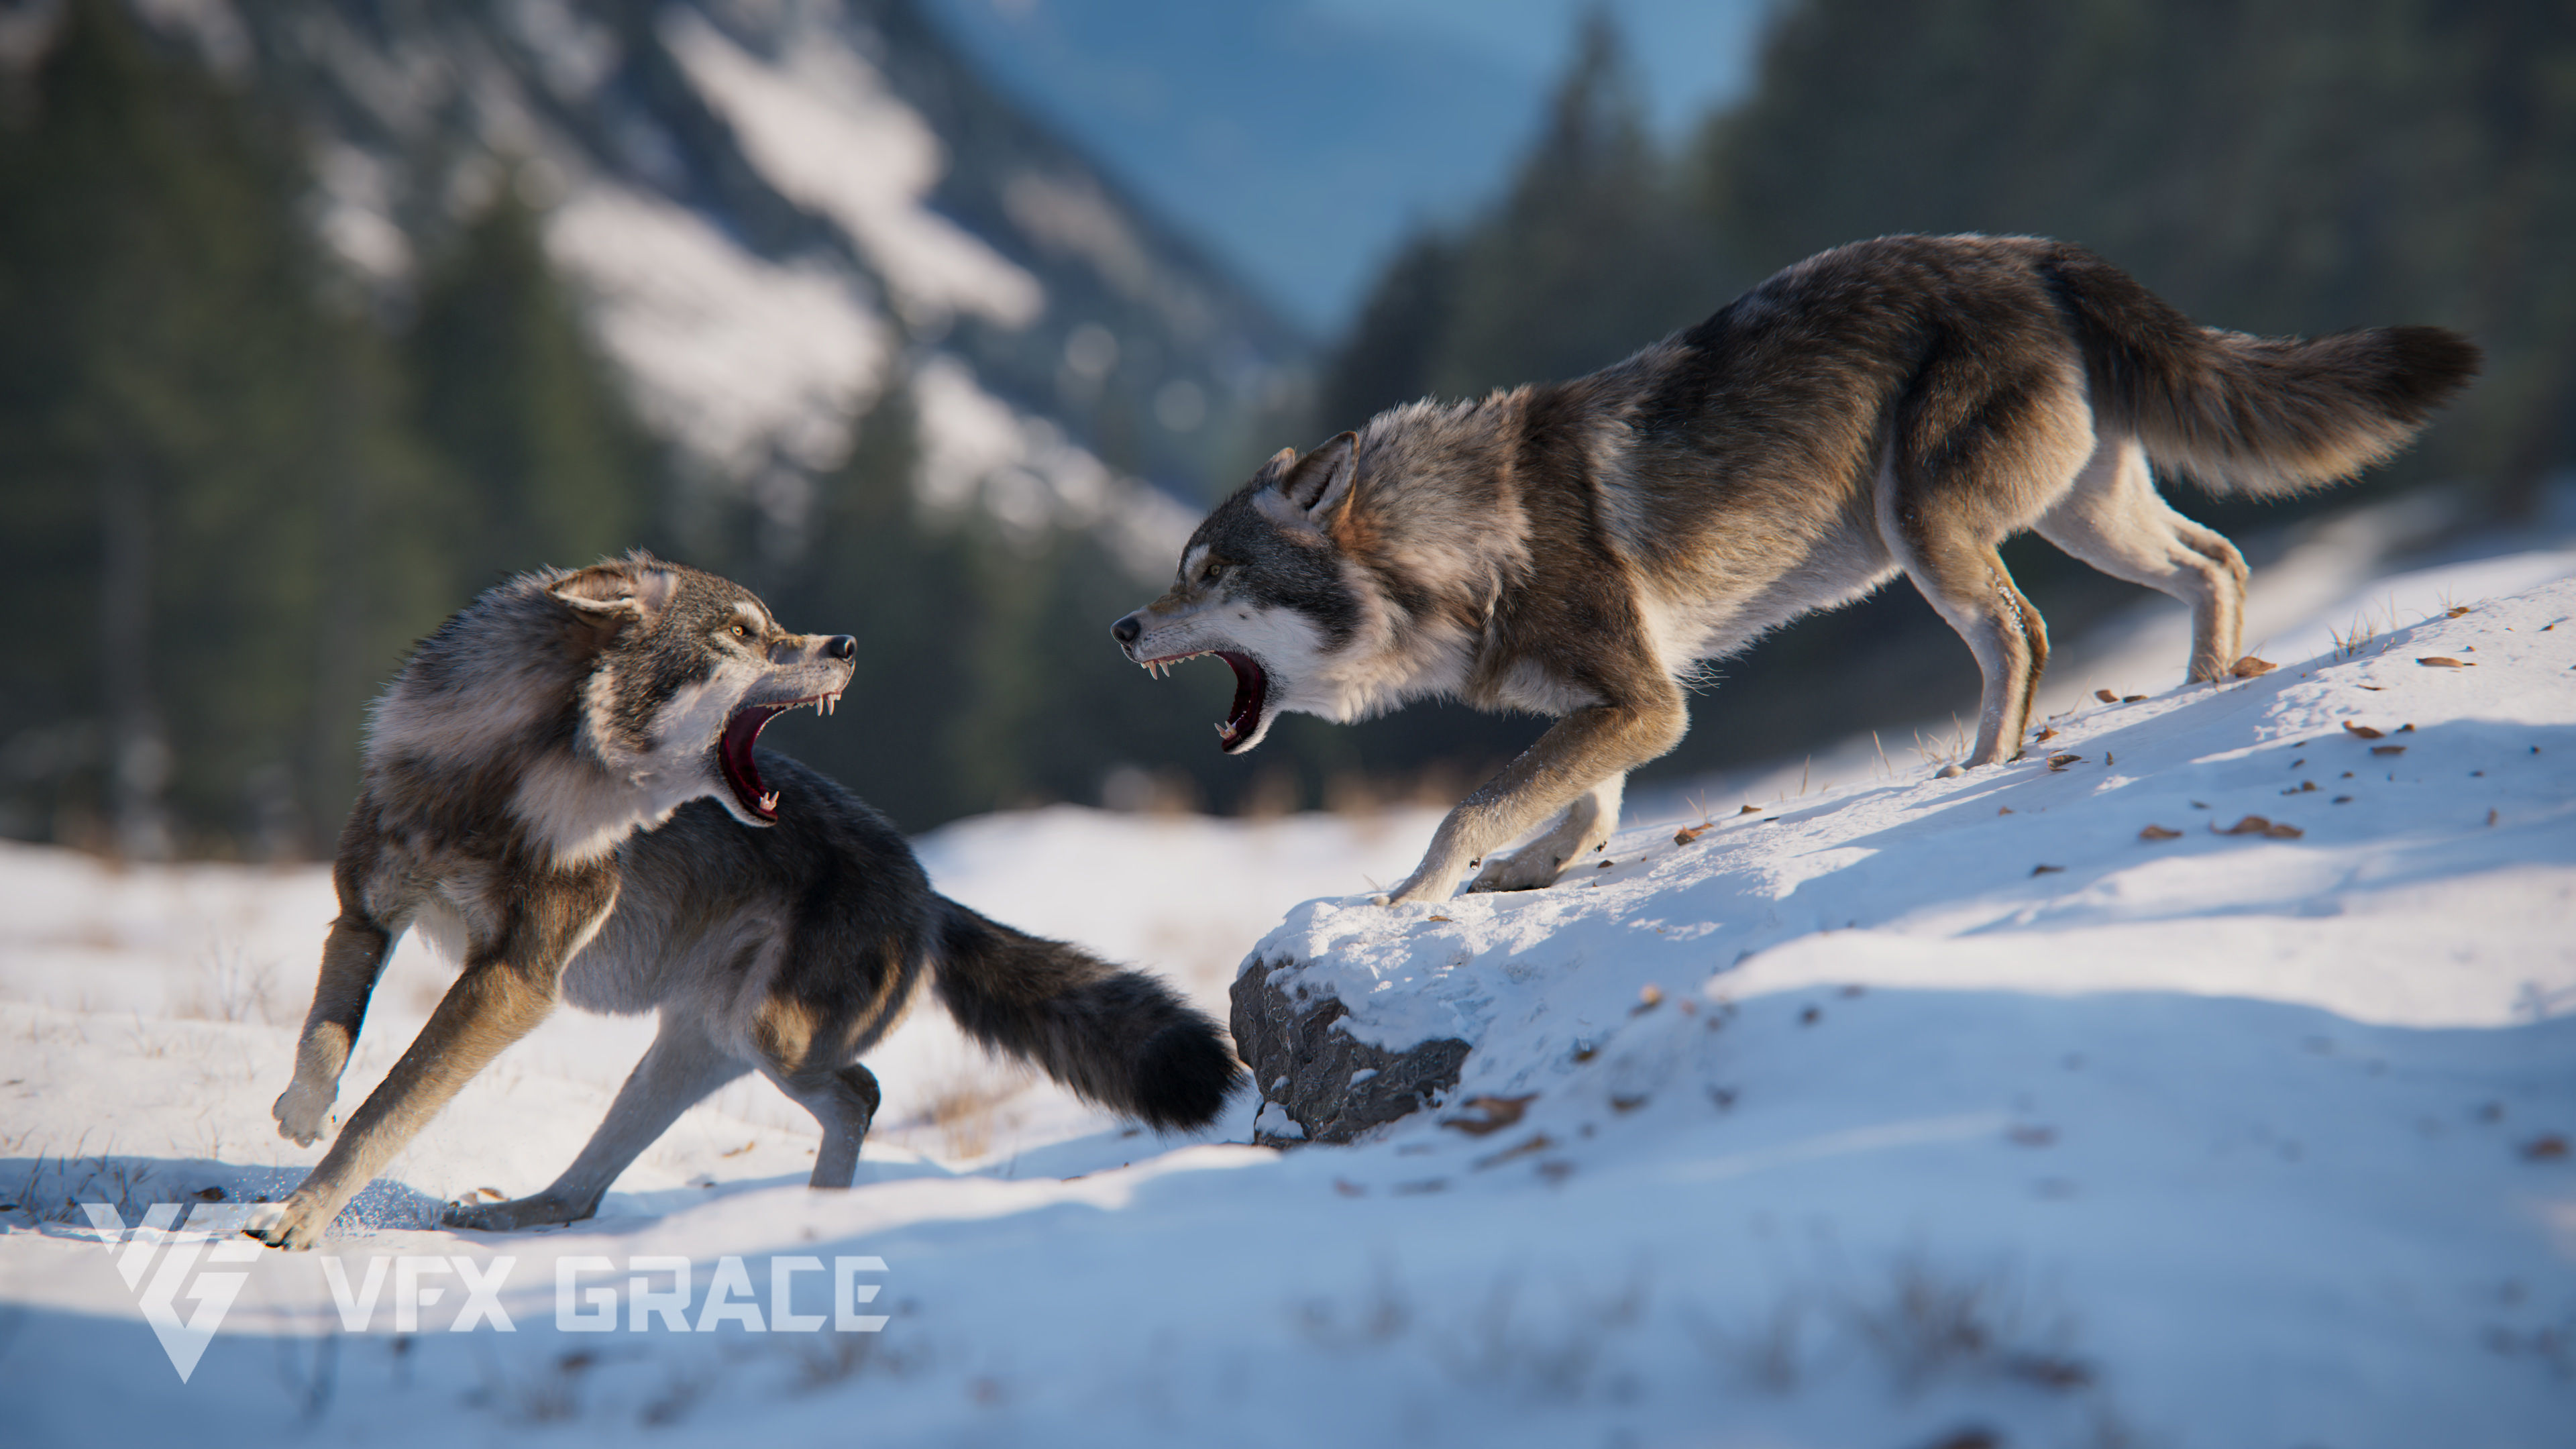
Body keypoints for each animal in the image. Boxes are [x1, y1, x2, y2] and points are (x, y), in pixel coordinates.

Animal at [249, 553, 1240, 1250]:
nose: (846, 647)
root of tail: (928, 890)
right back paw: (515, 1211)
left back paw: (819, 1221)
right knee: (584, 1194)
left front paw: (298, 1220)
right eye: (741, 632)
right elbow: (328, 1036)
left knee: (860, 1093)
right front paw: (300, 1113)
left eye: (774, 627)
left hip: (771, 1039)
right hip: (693, 1050)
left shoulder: (515, 982)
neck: (504, 781)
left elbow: (389, 1108)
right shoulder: (366, 913)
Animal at [1112, 234, 2479, 904]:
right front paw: (1533, 873)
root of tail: (2035, 252)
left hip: (1931, 533)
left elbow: (1470, 803)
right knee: (2219, 561)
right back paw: (2199, 692)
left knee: (2022, 636)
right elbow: (1584, 806)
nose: (1122, 630)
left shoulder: (1643, 700)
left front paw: (1414, 895)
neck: (1460, 544)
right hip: (2084, 520)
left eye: (1205, 572)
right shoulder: (1633, 706)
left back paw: (1980, 768)